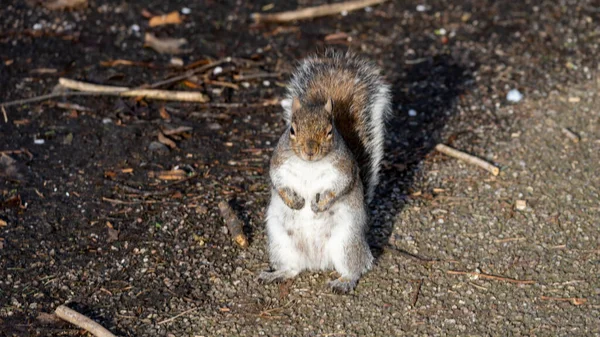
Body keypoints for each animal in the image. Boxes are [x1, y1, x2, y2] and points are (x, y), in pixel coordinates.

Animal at [258, 49, 392, 292]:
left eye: (330, 131)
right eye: (292, 130)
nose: (310, 150)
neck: (310, 164)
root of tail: (316, 261)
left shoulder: (344, 169)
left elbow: (339, 187)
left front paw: (319, 205)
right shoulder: (279, 164)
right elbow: (278, 183)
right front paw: (294, 201)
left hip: (346, 242)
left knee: (356, 266)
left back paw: (344, 282)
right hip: (281, 243)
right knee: (292, 268)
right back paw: (277, 274)